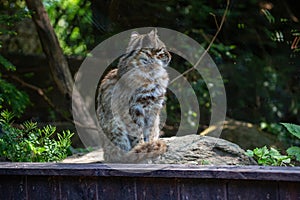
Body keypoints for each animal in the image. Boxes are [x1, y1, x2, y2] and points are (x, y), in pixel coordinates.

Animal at [96, 29, 171, 162]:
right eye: (163, 49)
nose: (170, 56)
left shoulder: (154, 109)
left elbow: (150, 131)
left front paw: (149, 144)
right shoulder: (134, 109)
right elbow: (137, 133)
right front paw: (142, 147)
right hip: (115, 124)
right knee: (119, 156)